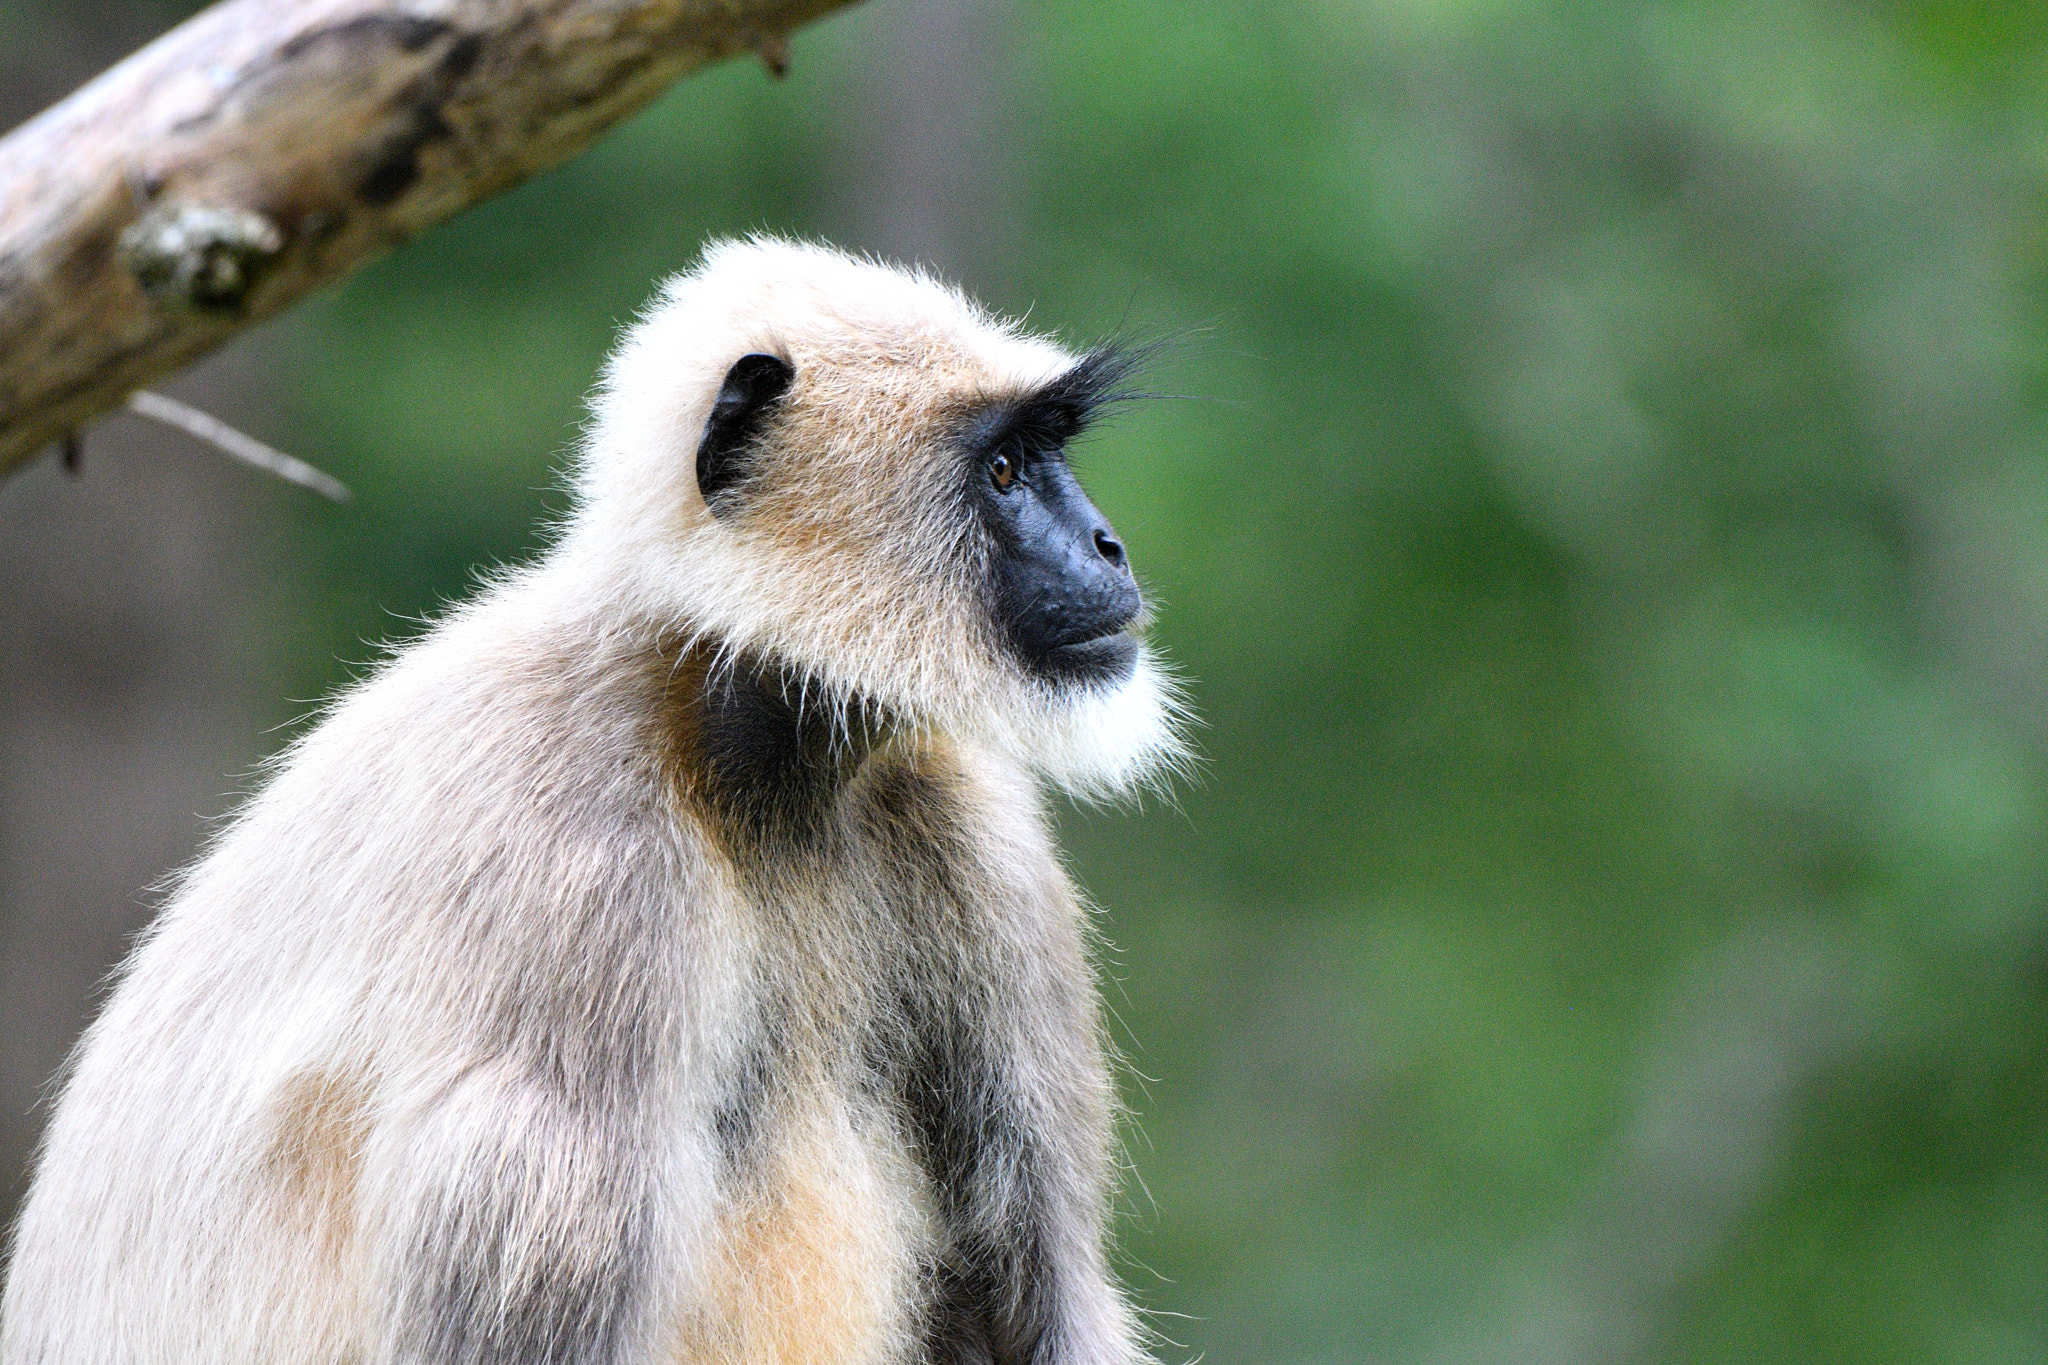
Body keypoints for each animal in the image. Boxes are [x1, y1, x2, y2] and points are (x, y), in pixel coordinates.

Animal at [0, 237, 1196, 1365]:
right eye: (1002, 469)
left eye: (1046, 456)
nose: (1109, 546)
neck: (753, 770)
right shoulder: (580, 872)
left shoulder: (968, 826)